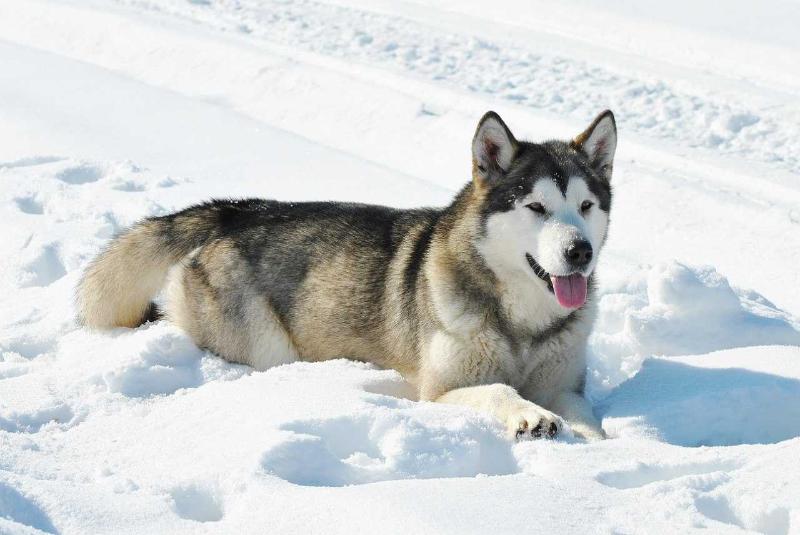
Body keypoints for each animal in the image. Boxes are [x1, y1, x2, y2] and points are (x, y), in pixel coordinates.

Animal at [76, 111, 612, 442]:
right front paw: (529, 415)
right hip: (265, 345)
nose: (579, 252)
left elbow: (586, 415)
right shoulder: (437, 391)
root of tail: (236, 211)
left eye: (586, 206)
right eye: (537, 207)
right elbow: (501, 390)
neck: (522, 324)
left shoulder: (565, 383)